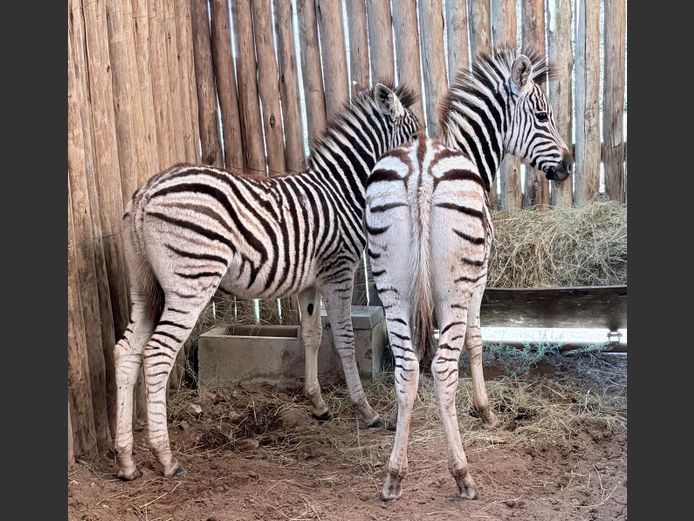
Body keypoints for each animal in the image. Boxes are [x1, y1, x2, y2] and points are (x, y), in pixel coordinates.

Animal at [113, 83, 420, 481]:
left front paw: (318, 405)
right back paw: (166, 458)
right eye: (415, 137)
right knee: (156, 353)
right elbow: (345, 339)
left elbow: (311, 335)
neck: (342, 190)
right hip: (190, 282)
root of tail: (148, 192)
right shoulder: (338, 271)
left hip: (144, 285)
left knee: (127, 351)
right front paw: (366, 410)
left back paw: (126, 460)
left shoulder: (309, 282)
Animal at [365, 49, 572, 501]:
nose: (568, 164)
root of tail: (422, 164)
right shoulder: (479, 278)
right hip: (455, 288)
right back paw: (462, 473)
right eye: (543, 115)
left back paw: (394, 474)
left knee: (407, 368)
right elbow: (477, 341)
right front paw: (485, 410)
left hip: (390, 285)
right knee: (444, 369)